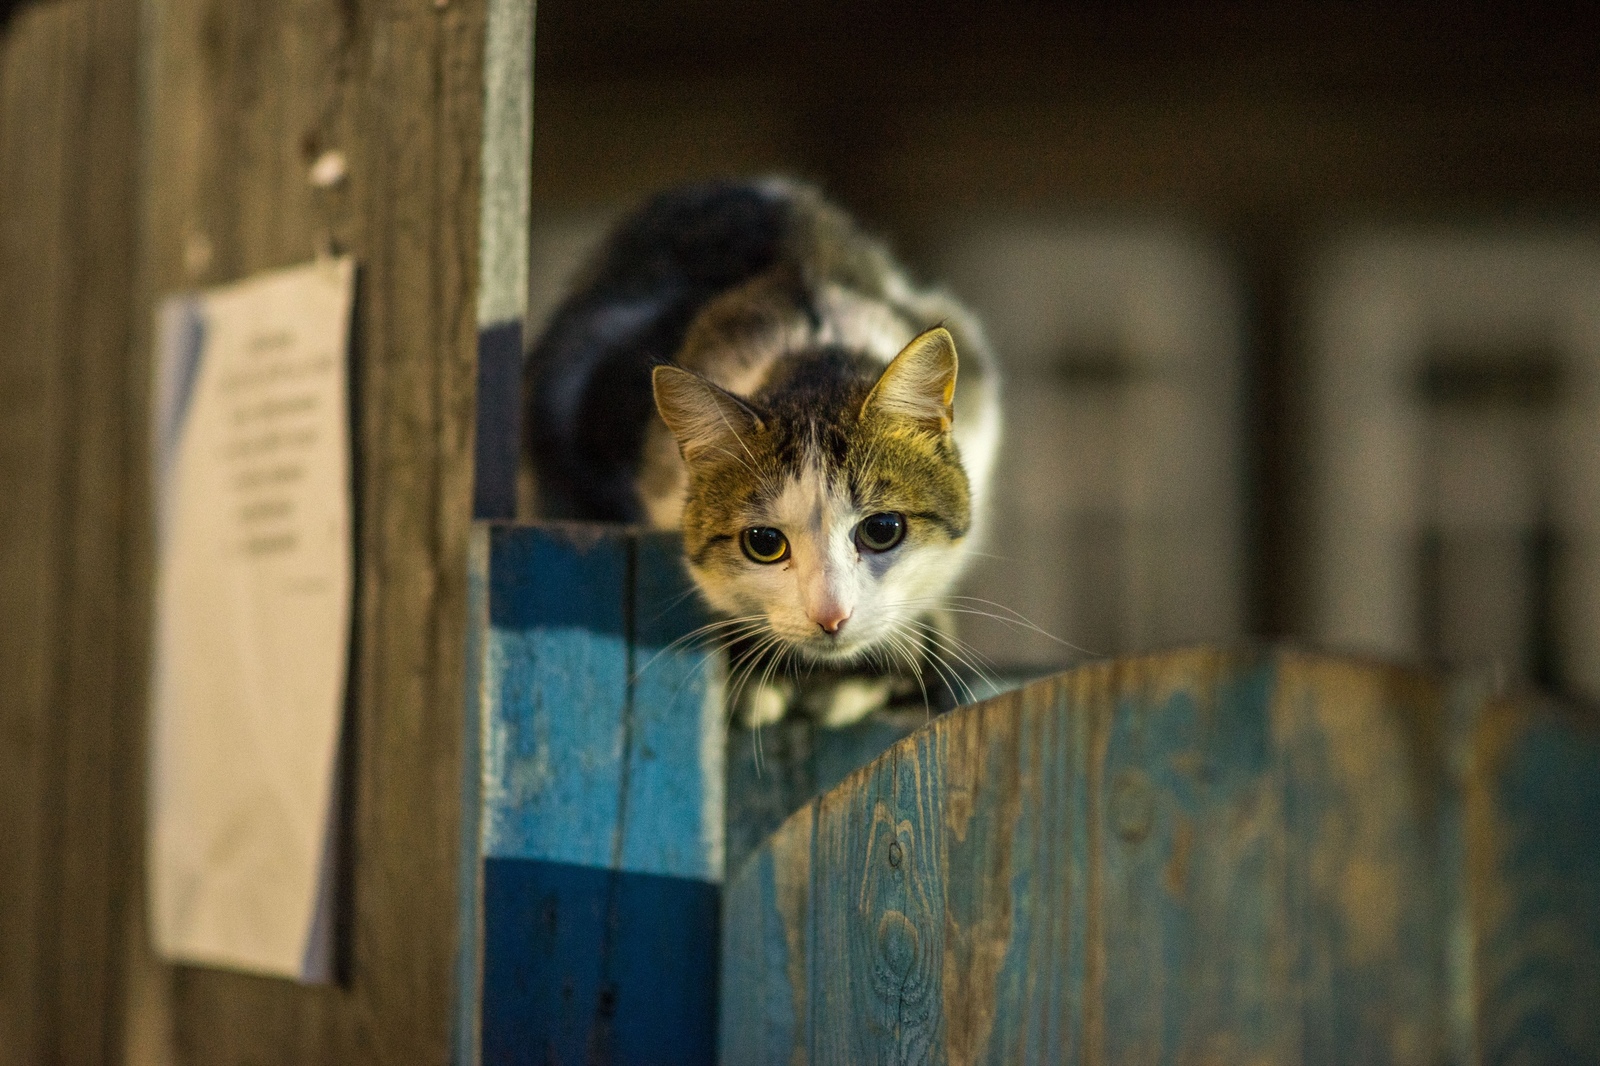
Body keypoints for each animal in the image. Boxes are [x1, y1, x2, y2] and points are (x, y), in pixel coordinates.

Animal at [524, 178, 998, 723]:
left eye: (882, 530)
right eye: (764, 543)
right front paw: (756, 676)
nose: (831, 616)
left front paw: (904, 658)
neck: (813, 349)